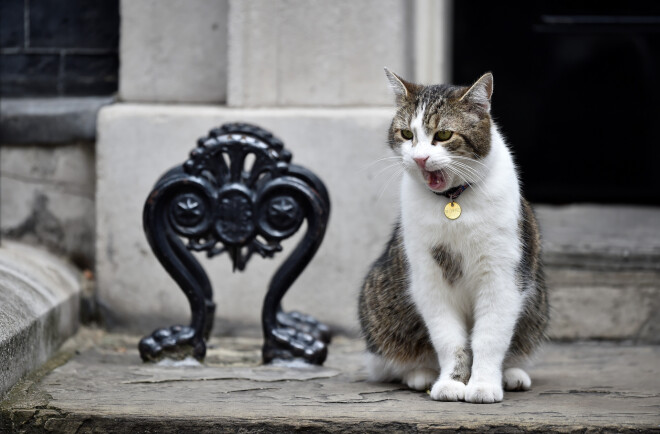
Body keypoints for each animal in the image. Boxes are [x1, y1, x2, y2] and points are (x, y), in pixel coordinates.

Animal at [358, 68, 548, 404]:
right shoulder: (429, 278)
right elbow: (450, 341)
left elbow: (489, 338)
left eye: (444, 135)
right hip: (377, 298)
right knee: (388, 363)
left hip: (537, 300)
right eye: (406, 134)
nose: (420, 158)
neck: (453, 200)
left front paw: (483, 384)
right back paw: (420, 374)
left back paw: (511, 374)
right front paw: (451, 383)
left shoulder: (502, 277)